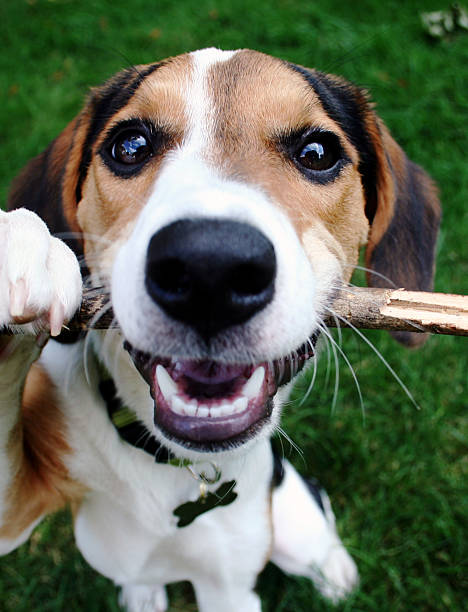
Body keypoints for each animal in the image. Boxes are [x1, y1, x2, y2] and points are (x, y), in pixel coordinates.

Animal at [0, 49, 440, 612]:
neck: (180, 469)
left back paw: (335, 571)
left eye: (317, 152)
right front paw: (23, 246)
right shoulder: (17, 504)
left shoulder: (229, 588)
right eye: (130, 145)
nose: (210, 266)